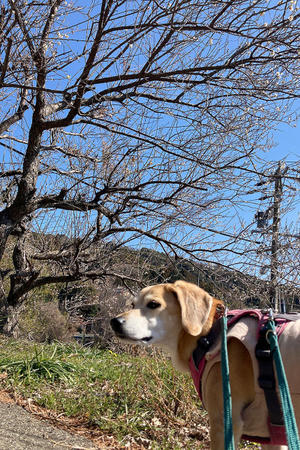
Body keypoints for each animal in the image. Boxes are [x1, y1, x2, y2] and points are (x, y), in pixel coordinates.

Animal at [110, 280, 300, 448]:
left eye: (153, 304)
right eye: (133, 304)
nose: (114, 322)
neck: (209, 334)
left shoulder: (224, 425)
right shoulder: (272, 438)